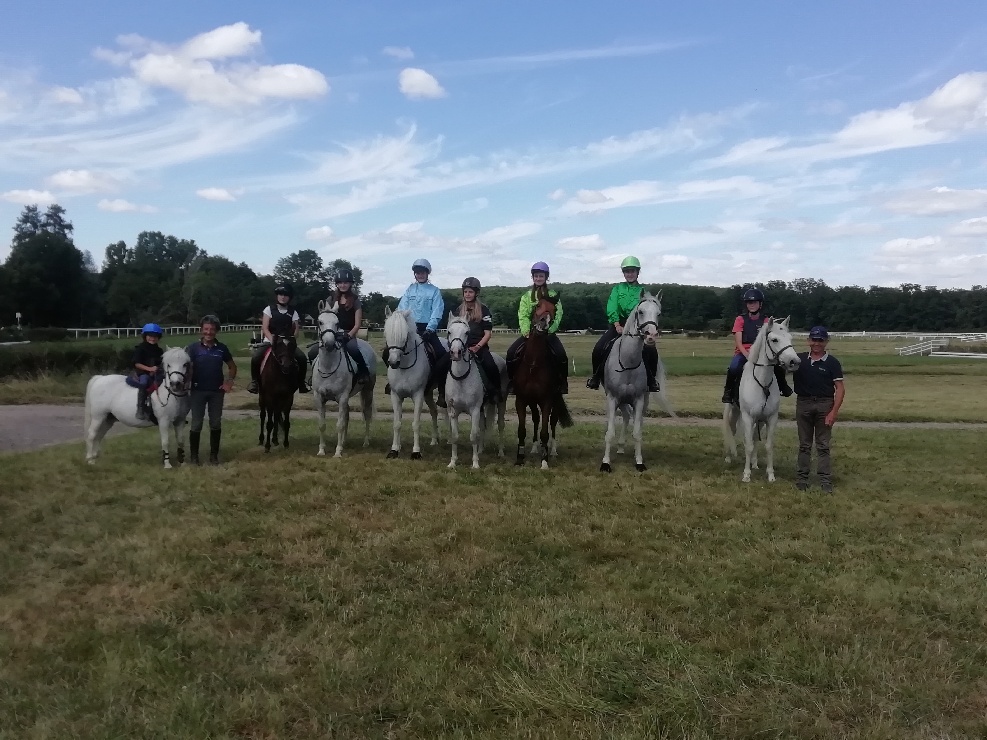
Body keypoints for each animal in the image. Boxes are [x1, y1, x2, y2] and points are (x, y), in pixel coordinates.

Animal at [312, 300, 378, 456]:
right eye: (320, 322)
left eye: (337, 323)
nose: (329, 344)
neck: (328, 367)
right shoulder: (319, 397)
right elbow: (322, 424)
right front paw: (322, 450)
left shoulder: (342, 397)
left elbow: (340, 424)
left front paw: (337, 452)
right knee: (347, 415)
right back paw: (344, 442)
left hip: (368, 391)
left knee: (367, 414)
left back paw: (365, 442)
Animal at [384, 304, 446, 456]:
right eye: (387, 333)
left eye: (405, 335)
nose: (393, 362)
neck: (404, 366)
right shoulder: (396, 395)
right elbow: (397, 423)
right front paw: (394, 449)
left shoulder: (418, 395)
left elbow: (416, 424)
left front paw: (416, 452)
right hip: (427, 393)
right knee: (434, 411)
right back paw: (434, 440)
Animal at [446, 312, 510, 468]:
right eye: (449, 332)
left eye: (466, 332)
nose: (456, 353)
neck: (461, 378)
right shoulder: (453, 412)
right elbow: (455, 436)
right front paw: (453, 462)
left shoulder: (474, 410)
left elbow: (473, 435)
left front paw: (475, 463)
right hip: (482, 407)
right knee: (483, 425)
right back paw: (481, 450)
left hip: (501, 402)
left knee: (500, 425)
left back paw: (500, 452)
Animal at [512, 294, 576, 468]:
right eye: (538, 305)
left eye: (554, 309)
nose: (544, 322)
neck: (534, 363)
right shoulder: (521, 400)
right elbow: (521, 429)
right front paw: (519, 458)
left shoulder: (547, 400)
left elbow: (545, 431)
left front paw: (544, 461)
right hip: (533, 401)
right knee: (535, 419)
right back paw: (535, 448)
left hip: (555, 398)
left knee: (552, 421)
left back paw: (552, 450)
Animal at [724, 316, 804, 480]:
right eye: (774, 339)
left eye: (790, 338)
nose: (794, 362)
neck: (762, 383)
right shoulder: (748, 417)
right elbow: (748, 445)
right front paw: (746, 475)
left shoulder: (771, 418)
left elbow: (768, 446)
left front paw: (770, 474)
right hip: (734, 412)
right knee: (732, 430)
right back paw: (729, 458)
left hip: (759, 420)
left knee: (755, 437)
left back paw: (754, 463)